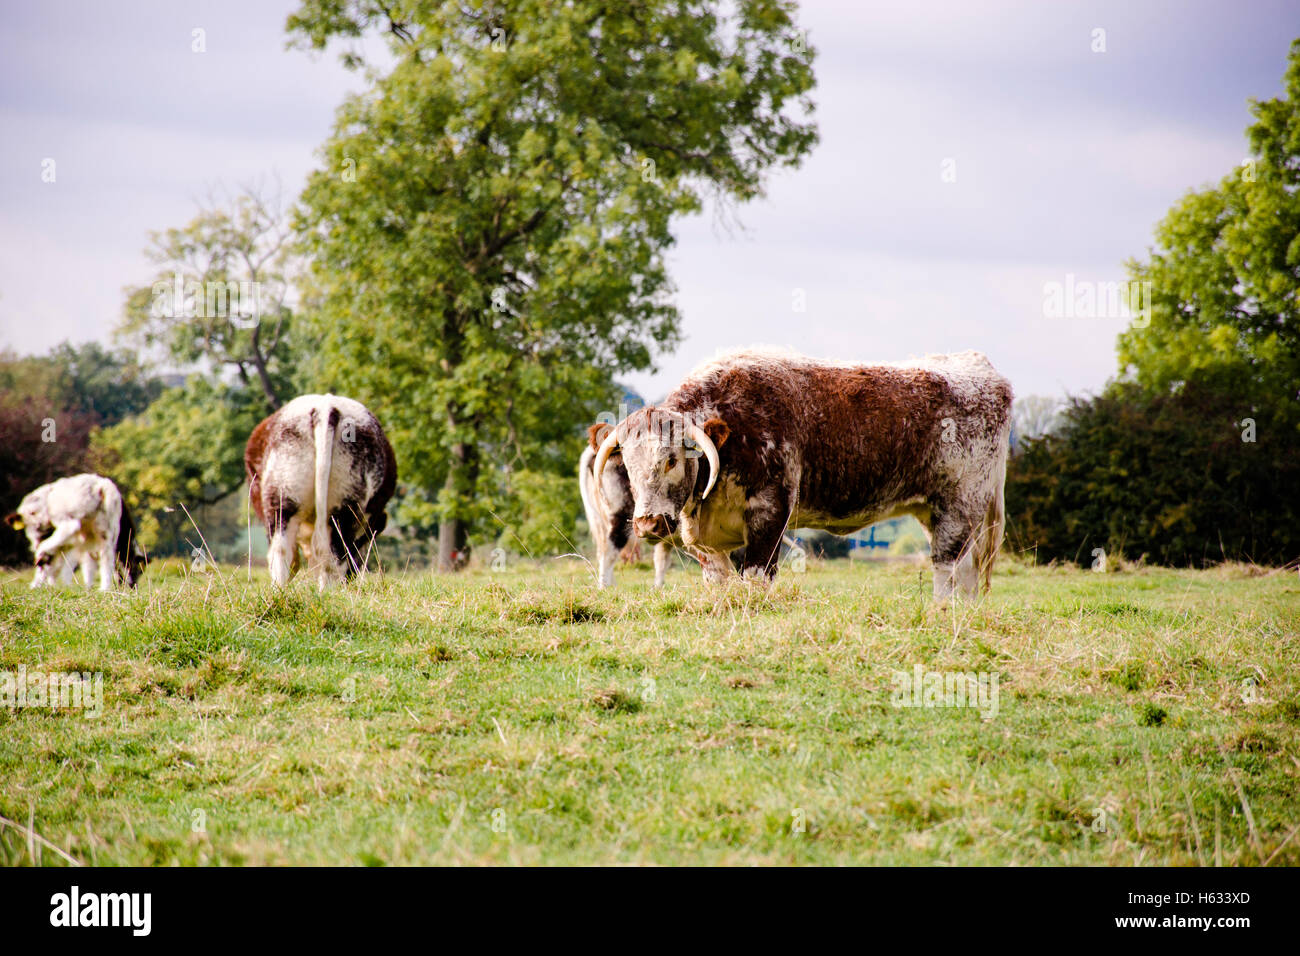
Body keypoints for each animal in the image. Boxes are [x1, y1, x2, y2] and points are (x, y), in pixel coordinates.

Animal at [4, 473, 147, 590]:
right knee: (106, 557)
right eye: (137, 569)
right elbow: (84, 565)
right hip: (105, 531)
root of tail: (102, 486)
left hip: (78, 526)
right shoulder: (82, 542)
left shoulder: (71, 537)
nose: (133, 586)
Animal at [592, 348, 1013, 600]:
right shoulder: (707, 544)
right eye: (627, 465)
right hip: (940, 512)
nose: (647, 523)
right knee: (967, 572)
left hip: (961, 505)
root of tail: (979, 365)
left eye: (672, 460)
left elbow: (757, 575)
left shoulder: (770, 512)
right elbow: (720, 581)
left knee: (947, 566)